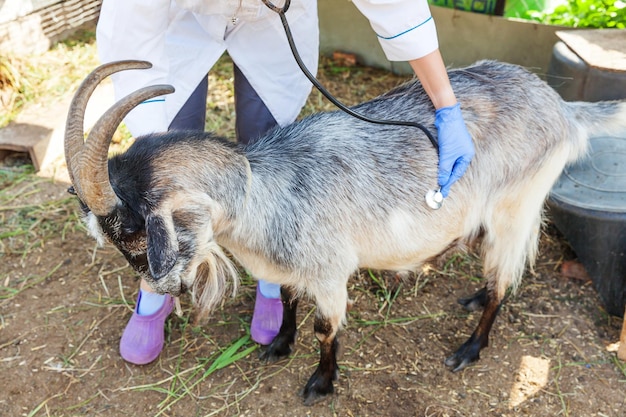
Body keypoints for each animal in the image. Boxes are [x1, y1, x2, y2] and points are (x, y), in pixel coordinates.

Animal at [63, 58, 624, 404]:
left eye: (135, 230)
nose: (164, 288)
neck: (265, 191)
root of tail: (562, 106)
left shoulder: (331, 275)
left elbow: (324, 329)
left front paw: (320, 382)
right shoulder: (287, 268)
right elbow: (288, 302)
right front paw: (277, 345)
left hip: (516, 206)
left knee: (507, 278)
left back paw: (469, 348)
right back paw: (471, 297)